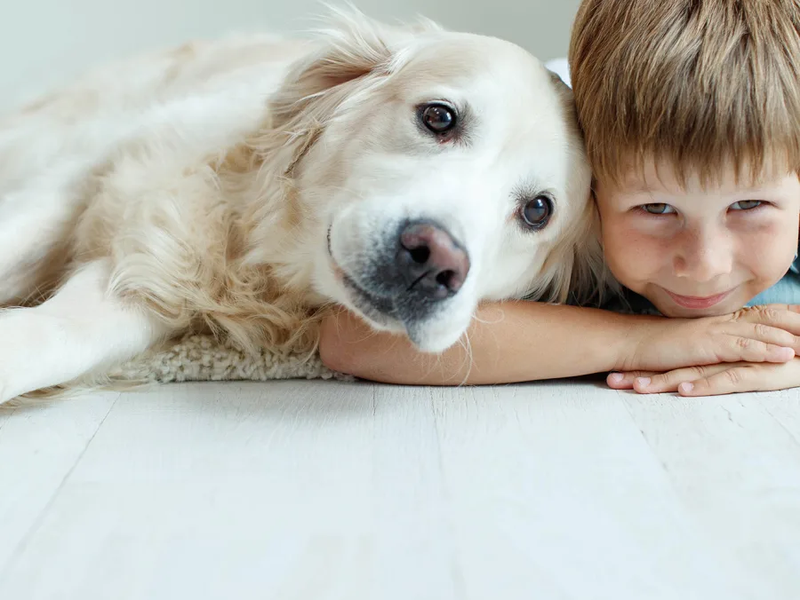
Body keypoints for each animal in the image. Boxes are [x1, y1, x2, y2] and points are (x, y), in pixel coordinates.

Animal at [0, 8, 600, 404]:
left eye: (538, 210)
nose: (434, 262)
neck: (256, 249)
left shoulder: (147, 288)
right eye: (439, 117)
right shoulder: (86, 182)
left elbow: (55, 337)